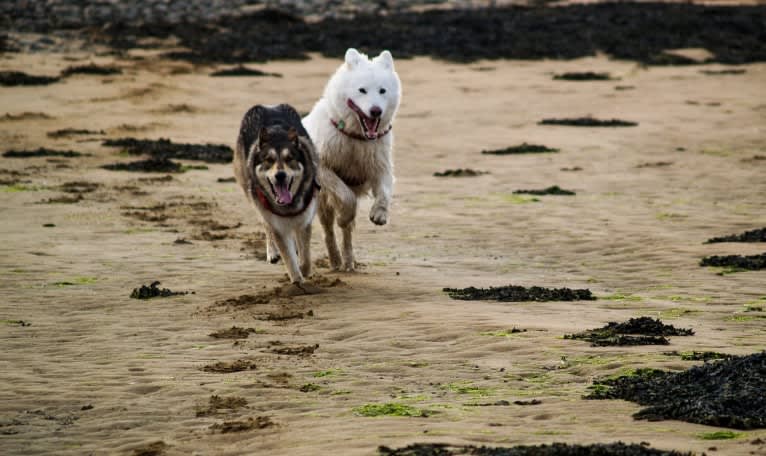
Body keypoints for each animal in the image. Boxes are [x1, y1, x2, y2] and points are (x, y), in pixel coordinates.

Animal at [304, 50, 404, 270]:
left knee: (347, 235)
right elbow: (346, 196)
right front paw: (344, 215)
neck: (356, 136)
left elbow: (384, 191)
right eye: (362, 90)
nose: (376, 111)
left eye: (382, 91)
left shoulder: (380, 165)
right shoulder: (324, 168)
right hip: (321, 202)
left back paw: (349, 261)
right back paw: (335, 260)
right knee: (328, 230)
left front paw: (380, 214)